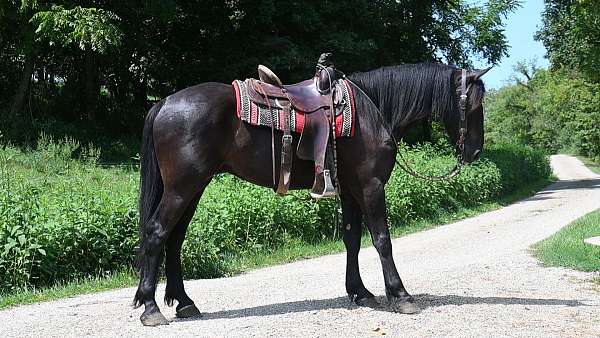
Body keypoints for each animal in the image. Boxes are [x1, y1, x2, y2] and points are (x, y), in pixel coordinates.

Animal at [134, 62, 490, 324]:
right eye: (474, 105)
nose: (474, 152)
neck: (373, 111)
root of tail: (165, 103)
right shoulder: (371, 186)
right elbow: (382, 240)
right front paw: (400, 295)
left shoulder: (351, 189)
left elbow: (352, 238)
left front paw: (360, 292)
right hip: (182, 188)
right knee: (157, 232)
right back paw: (151, 308)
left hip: (193, 188)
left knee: (175, 239)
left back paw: (184, 303)